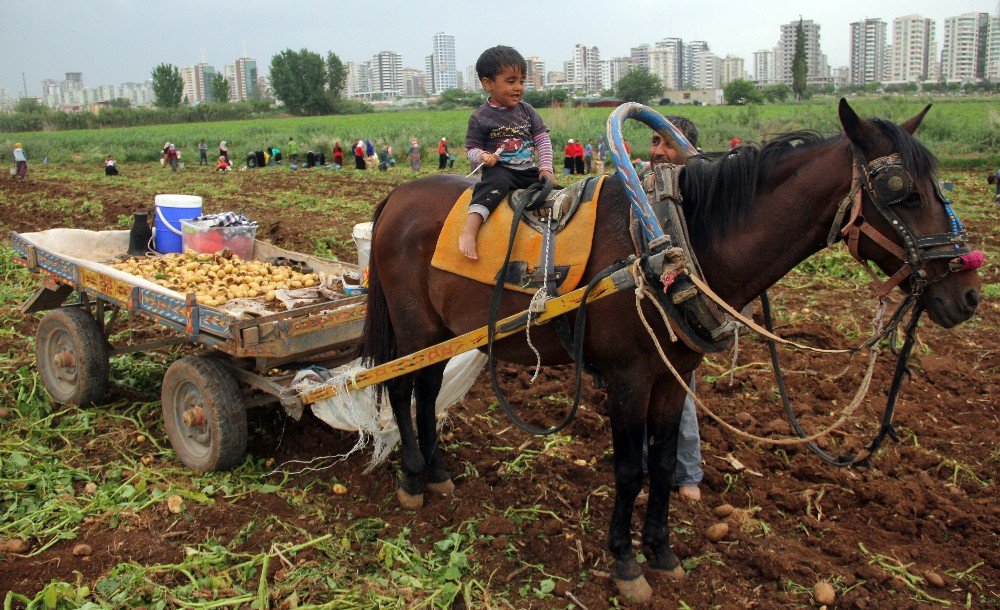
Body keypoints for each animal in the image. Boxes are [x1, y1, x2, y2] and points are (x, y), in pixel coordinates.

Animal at [360, 100, 976, 600]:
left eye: (940, 186)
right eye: (903, 192)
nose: (968, 293)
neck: (665, 242)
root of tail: (396, 197)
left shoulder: (671, 375)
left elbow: (661, 464)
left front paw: (661, 551)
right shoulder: (628, 379)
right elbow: (629, 469)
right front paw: (625, 562)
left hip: (438, 334)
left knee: (427, 391)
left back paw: (438, 472)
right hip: (413, 330)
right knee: (401, 388)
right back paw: (411, 478)